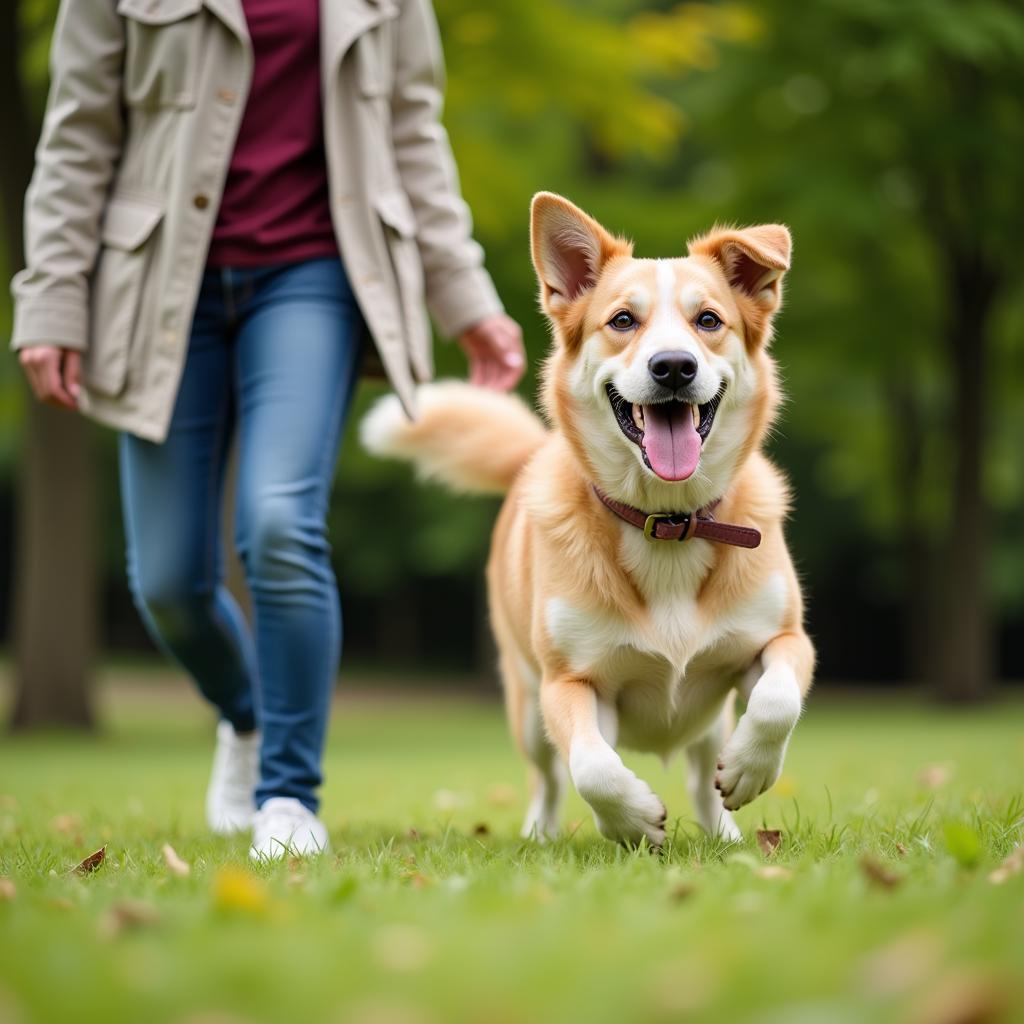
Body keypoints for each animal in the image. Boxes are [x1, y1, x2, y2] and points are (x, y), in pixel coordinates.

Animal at [362, 192, 815, 847]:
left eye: (708, 321)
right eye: (622, 321)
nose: (673, 366)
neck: (667, 521)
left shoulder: (782, 640)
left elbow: (779, 700)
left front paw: (751, 770)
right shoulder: (571, 682)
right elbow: (593, 765)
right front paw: (633, 820)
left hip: (708, 719)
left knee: (703, 771)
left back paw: (725, 835)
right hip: (525, 702)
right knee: (548, 777)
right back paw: (541, 834)